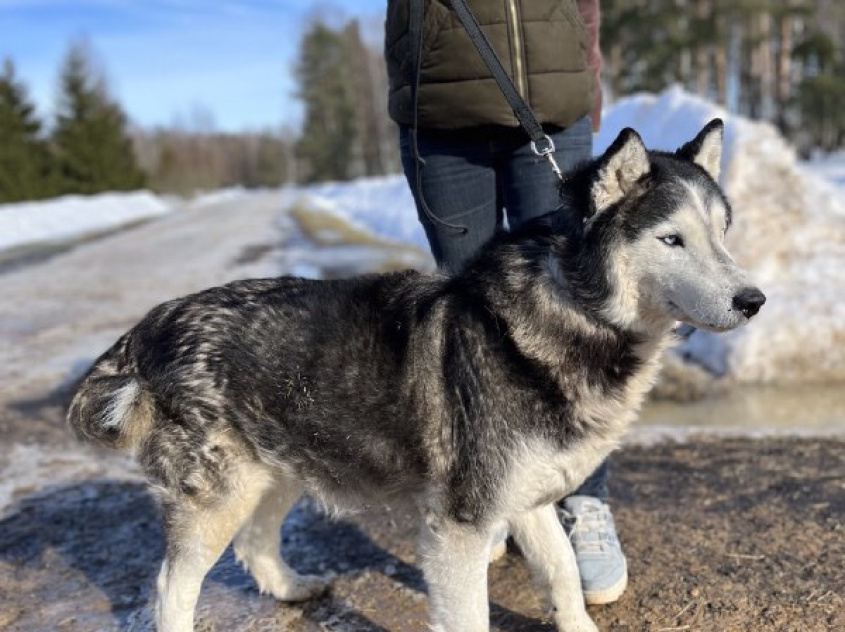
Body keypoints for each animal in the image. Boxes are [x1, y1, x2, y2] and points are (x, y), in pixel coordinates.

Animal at [67, 119, 764, 632]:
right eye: (671, 240)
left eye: (724, 232)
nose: (753, 300)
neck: (568, 310)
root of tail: (150, 327)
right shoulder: (459, 528)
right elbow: (474, 616)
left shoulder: (525, 500)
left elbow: (564, 575)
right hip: (218, 496)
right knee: (172, 585)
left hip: (277, 470)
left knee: (257, 542)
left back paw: (293, 588)